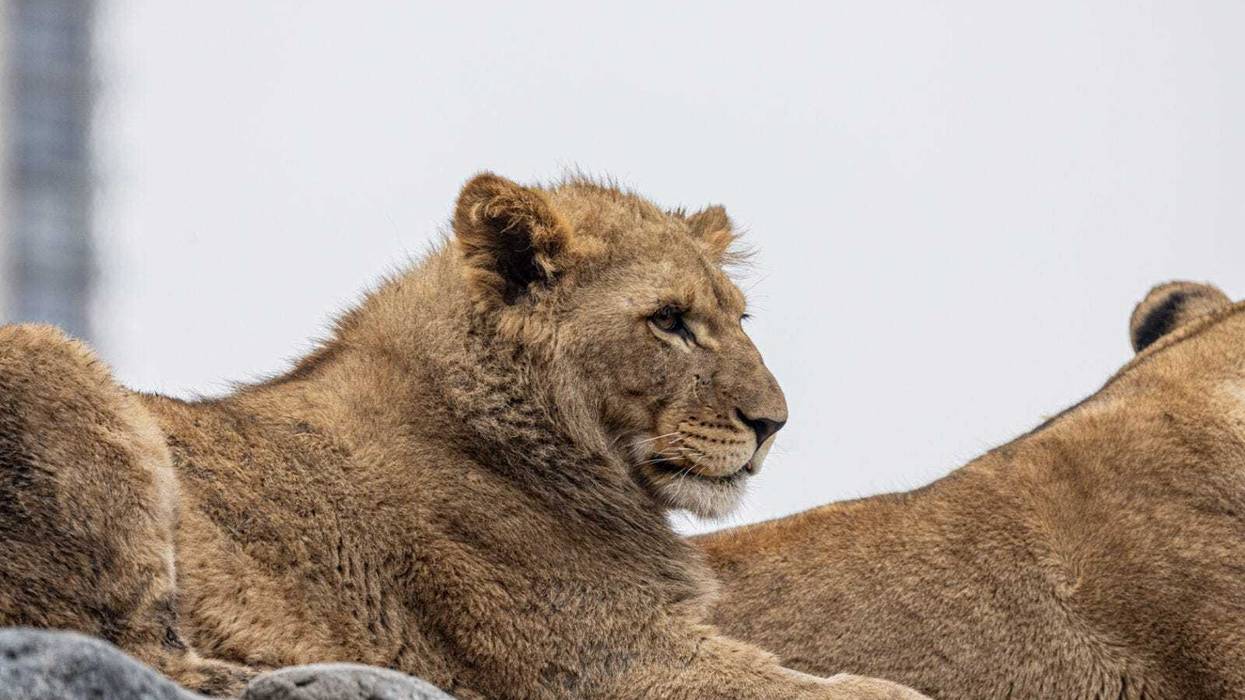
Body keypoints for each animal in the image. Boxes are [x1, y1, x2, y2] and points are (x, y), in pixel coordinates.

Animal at [0, 174, 923, 699]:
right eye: (668, 320)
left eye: (738, 319)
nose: (773, 422)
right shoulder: (608, 660)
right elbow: (858, 691)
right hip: (45, 354)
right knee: (137, 648)